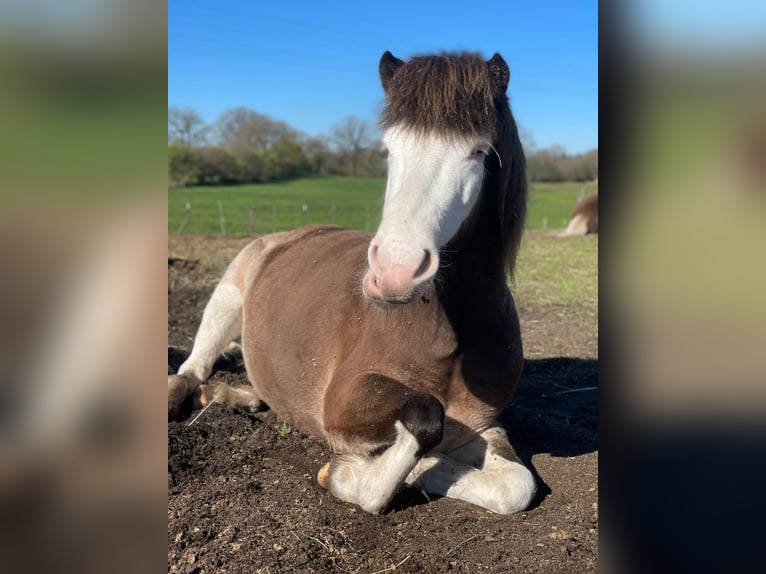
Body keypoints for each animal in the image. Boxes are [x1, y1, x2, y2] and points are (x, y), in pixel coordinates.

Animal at [168, 51, 537, 515]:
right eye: (388, 150)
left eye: (479, 151)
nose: (396, 269)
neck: (452, 335)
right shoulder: (346, 399)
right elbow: (424, 419)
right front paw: (351, 471)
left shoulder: (483, 425)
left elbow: (515, 486)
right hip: (227, 295)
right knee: (192, 369)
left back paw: (231, 393)